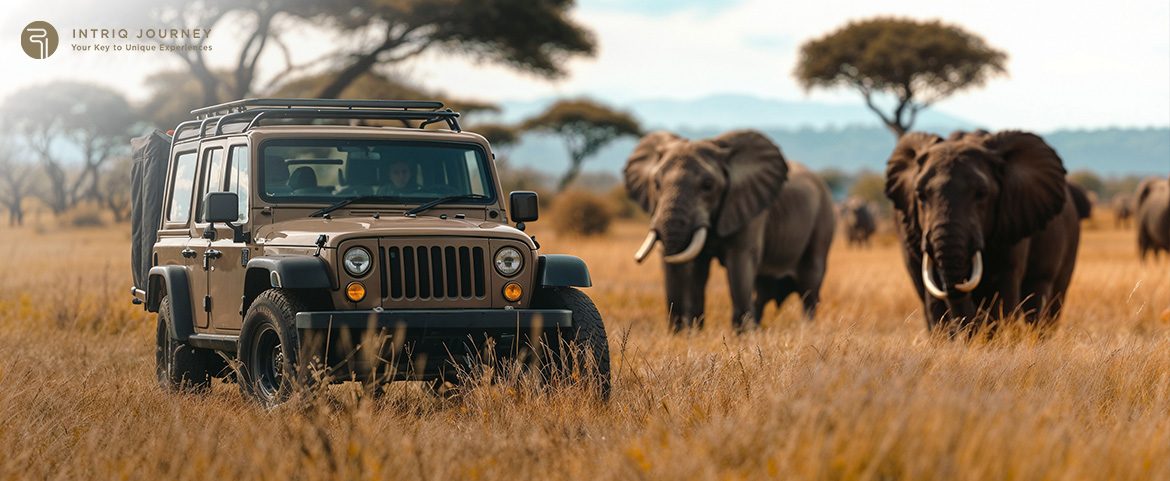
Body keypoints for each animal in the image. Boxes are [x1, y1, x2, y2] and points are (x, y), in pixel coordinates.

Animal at [624, 130, 836, 332]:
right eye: (656, 184)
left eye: (708, 185)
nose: (677, 330)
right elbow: (697, 269)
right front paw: (695, 333)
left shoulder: (749, 208)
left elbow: (739, 263)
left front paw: (741, 336)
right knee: (763, 291)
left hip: (823, 220)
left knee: (809, 286)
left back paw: (805, 329)